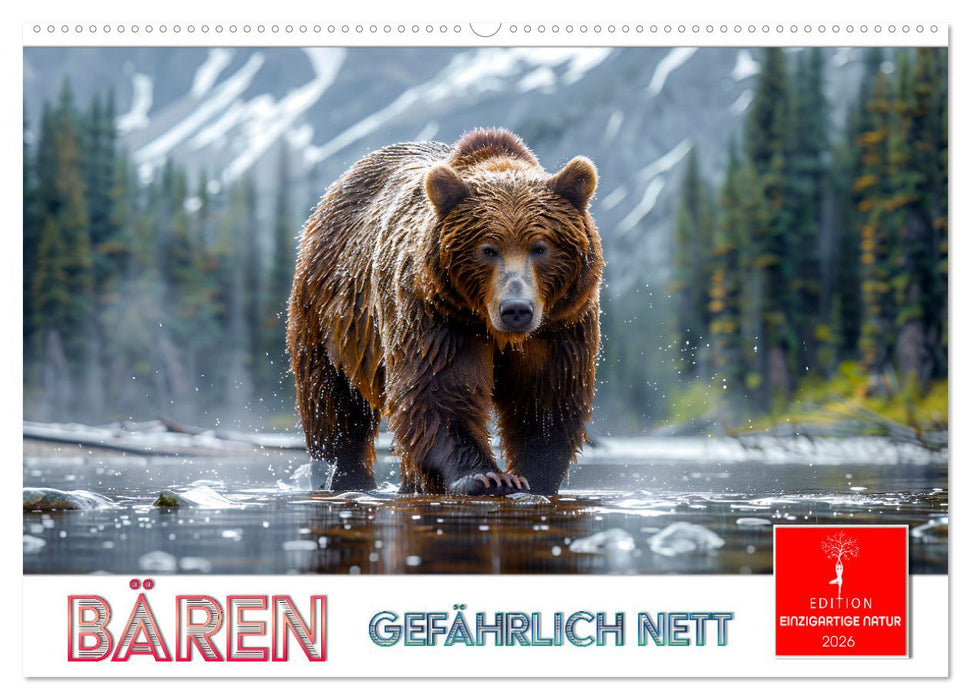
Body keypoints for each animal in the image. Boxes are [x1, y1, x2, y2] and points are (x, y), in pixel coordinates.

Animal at [287, 128, 603, 496]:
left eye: (540, 248)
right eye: (488, 249)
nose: (516, 310)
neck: (490, 326)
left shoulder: (560, 326)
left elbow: (545, 399)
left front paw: (533, 477)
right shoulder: (437, 316)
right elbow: (438, 390)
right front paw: (487, 476)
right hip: (330, 315)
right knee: (335, 406)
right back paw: (347, 477)